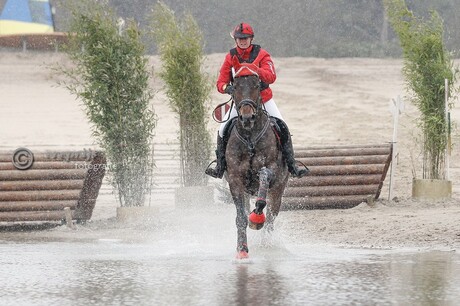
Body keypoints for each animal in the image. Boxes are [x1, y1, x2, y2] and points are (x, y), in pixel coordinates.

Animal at [223, 57, 288, 258]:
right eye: (235, 86)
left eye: (257, 85)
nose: (247, 118)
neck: (250, 137)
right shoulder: (235, 180)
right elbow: (240, 217)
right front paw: (242, 249)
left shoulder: (271, 170)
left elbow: (265, 178)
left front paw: (256, 218)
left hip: (278, 191)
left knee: (271, 219)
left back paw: (266, 244)